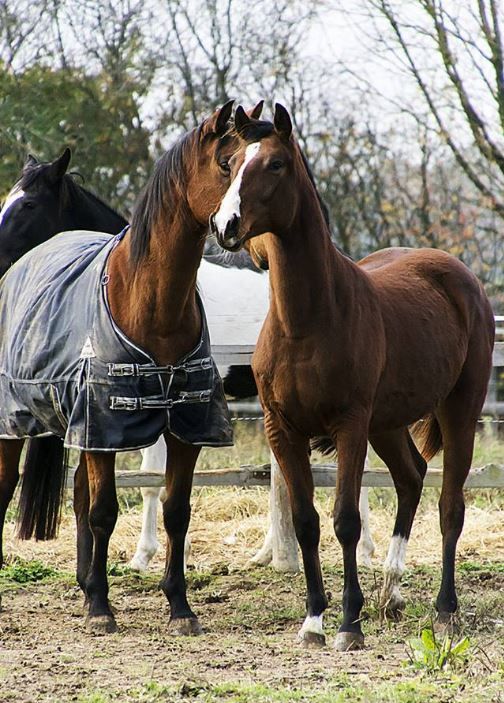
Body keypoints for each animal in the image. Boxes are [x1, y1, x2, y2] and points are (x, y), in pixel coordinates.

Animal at [210, 103, 496, 648]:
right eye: (229, 162)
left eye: (275, 163)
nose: (225, 223)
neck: (307, 323)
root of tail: (461, 276)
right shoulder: (283, 429)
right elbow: (305, 522)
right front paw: (313, 622)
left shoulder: (348, 426)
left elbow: (345, 519)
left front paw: (347, 624)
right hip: (386, 423)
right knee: (410, 478)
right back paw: (392, 593)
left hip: (458, 410)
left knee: (450, 504)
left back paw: (444, 610)